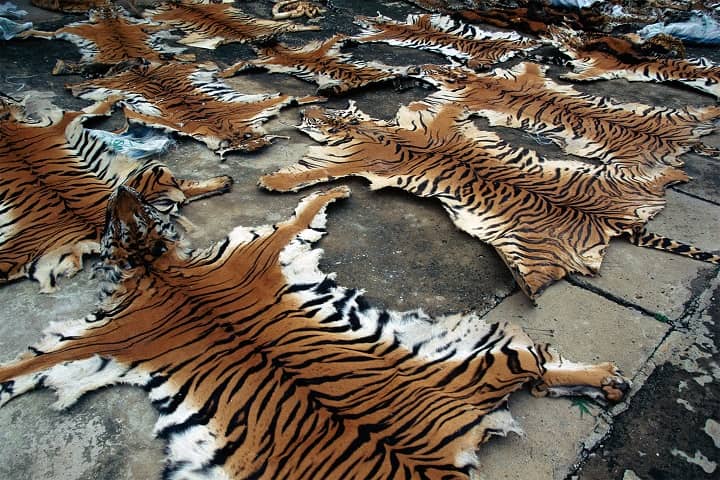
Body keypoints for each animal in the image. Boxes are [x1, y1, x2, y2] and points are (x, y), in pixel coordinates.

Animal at [0, 94, 231, 292]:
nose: (12, 98)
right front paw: (115, 98)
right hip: (152, 171)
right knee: (182, 190)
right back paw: (223, 181)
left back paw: (224, 182)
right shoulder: (67, 118)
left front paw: (116, 97)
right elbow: (94, 108)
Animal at [0, 185, 629, 479]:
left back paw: (609, 378)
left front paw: (332, 191)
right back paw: (610, 381)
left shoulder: (252, 252)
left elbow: (297, 218)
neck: (157, 269)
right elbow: (35, 360)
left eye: (134, 211)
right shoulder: (105, 336)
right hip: (472, 359)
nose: (121, 191)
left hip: (470, 353)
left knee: (540, 363)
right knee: (541, 366)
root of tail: (435, 465)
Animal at [259, 100, 719, 298]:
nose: (302, 111)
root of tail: (614, 222)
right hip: (620, 178)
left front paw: (273, 180)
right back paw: (676, 173)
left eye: (321, 116)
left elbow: (311, 171)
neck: (365, 130)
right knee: (659, 182)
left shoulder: (347, 160)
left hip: (529, 251)